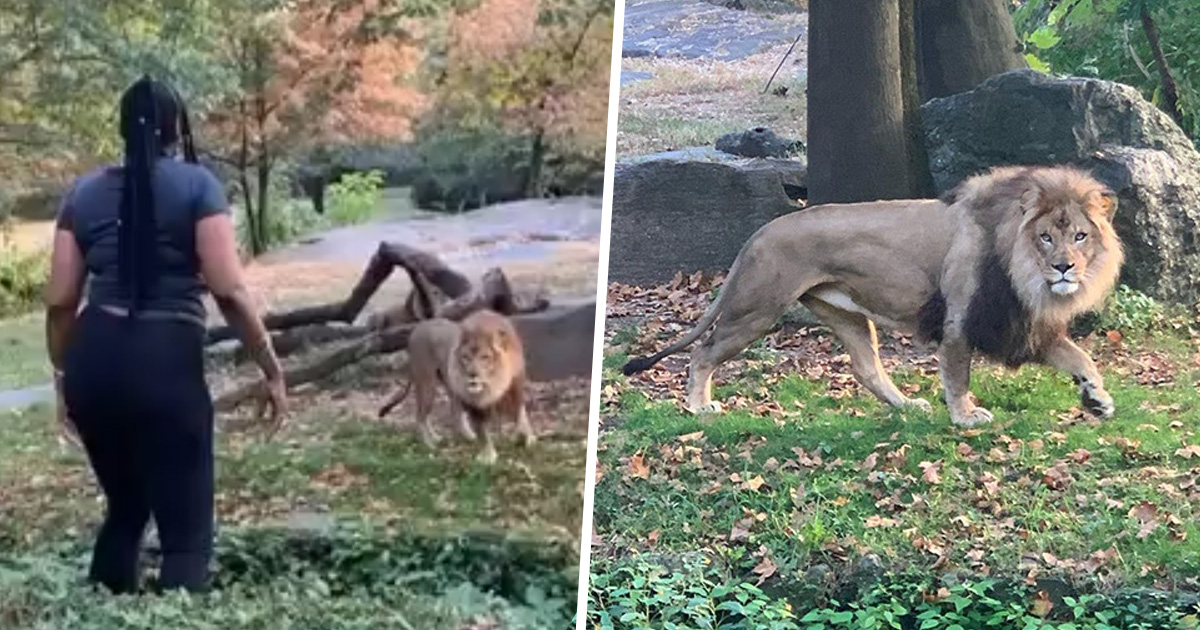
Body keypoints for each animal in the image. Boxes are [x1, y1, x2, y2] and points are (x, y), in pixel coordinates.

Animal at [378, 310, 534, 462]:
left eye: (485, 357)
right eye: (465, 357)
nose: (472, 374)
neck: (492, 384)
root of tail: (417, 329)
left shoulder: (516, 386)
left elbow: (521, 413)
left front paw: (526, 437)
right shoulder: (472, 401)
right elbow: (482, 430)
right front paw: (488, 456)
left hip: (448, 386)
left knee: (450, 413)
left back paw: (453, 437)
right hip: (427, 383)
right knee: (421, 416)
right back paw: (430, 443)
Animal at [622, 165, 1124, 428]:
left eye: (1080, 236)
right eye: (1045, 237)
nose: (1064, 268)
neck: (1023, 273)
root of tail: (758, 233)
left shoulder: (1024, 324)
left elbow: (1081, 358)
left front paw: (1097, 399)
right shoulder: (961, 320)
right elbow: (957, 376)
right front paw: (965, 417)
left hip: (846, 316)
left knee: (867, 370)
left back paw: (907, 405)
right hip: (757, 308)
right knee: (702, 353)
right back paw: (699, 406)